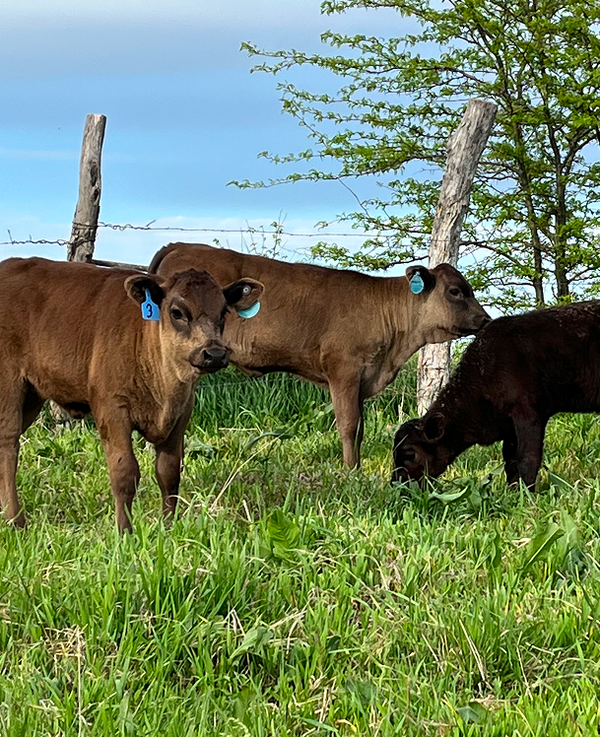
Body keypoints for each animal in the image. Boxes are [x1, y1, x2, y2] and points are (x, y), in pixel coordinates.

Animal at [0, 257, 263, 532]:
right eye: (177, 312)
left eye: (223, 312)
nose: (214, 353)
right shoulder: (112, 409)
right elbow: (125, 472)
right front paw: (124, 531)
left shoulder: (182, 412)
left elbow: (169, 472)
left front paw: (168, 528)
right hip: (9, 383)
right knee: (8, 443)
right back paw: (15, 520)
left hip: (32, 394)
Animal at [149, 243, 491, 467]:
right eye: (456, 291)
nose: (485, 319)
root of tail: (179, 246)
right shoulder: (344, 370)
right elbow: (349, 425)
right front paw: (351, 472)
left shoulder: (361, 379)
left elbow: (360, 428)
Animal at [392, 300, 600, 489]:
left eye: (410, 454)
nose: (396, 486)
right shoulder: (509, 426)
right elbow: (511, 461)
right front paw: (513, 491)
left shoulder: (528, 414)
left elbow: (527, 458)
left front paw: (528, 495)